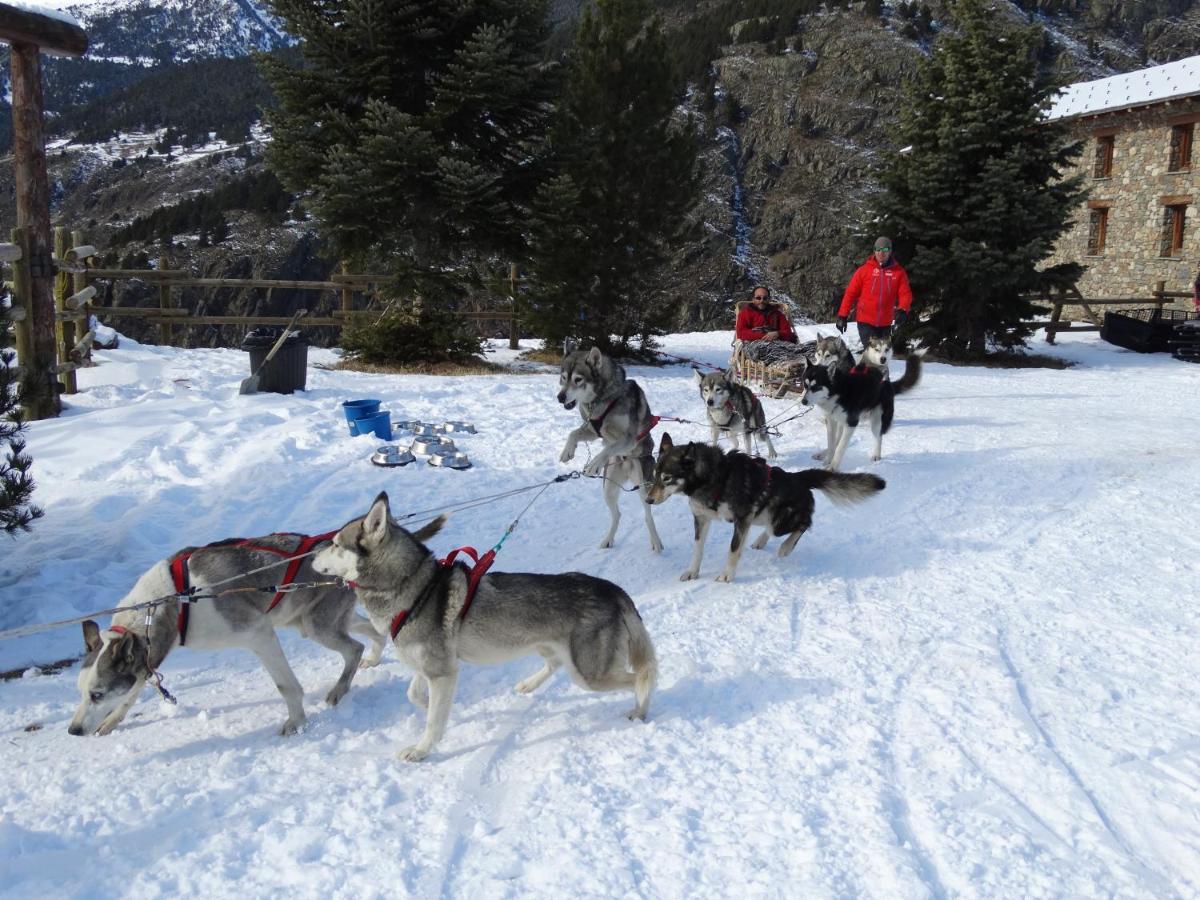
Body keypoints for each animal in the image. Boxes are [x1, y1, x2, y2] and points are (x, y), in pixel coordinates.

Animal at [312, 494, 657, 763]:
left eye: (335, 543)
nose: (312, 555)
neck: (415, 587)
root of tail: (614, 590)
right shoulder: (431, 668)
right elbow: (418, 696)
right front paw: (443, 711)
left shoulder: (442, 671)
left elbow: (433, 720)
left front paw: (422, 750)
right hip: (552, 650)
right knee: (556, 663)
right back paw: (528, 685)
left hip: (589, 674)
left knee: (640, 678)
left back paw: (640, 712)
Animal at [554, 348, 662, 554]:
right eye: (563, 378)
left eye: (578, 379)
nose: (560, 397)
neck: (601, 400)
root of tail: (626, 466)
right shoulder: (591, 430)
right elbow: (574, 433)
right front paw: (567, 451)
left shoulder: (628, 439)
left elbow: (609, 447)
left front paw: (594, 464)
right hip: (608, 488)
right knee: (617, 515)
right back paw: (608, 539)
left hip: (642, 485)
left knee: (648, 516)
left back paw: (656, 542)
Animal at [648, 434, 883, 585]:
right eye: (655, 475)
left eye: (667, 478)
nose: (648, 499)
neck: (714, 477)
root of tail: (798, 477)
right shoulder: (702, 519)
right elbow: (697, 549)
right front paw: (692, 571)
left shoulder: (741, 519)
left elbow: (733, 549)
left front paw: (727, 575)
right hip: (765, 516)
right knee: (771, 528)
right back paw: (761, 540)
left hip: (780, 522)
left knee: (803, 524)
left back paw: (786, 547)